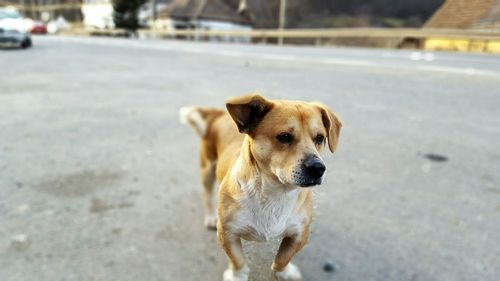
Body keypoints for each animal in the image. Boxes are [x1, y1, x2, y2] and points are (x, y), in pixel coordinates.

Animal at [179, 94, 340, 280]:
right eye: (284, 137)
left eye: (319, 138)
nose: (317, 168)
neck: (275, 193)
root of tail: (219, 114)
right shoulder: (227, 233)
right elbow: (238, 260)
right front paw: (237, 275)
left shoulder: (300, 234)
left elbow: (283, 258)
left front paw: (284, 272)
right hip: (207, 169)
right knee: (207, 194)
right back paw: (210, 216)